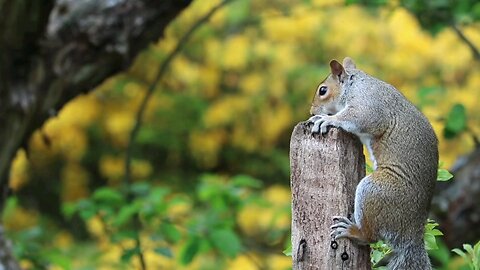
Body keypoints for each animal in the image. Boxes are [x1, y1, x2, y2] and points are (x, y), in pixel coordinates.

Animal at [308, 57, 438, 270]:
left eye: (323, 90)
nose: (311, 111)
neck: (355, 84)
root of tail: (412, 234)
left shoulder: (368, 105)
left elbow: (359, 118)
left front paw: (326, 119)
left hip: (374, 190)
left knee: (370, 237)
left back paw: (353, 231)